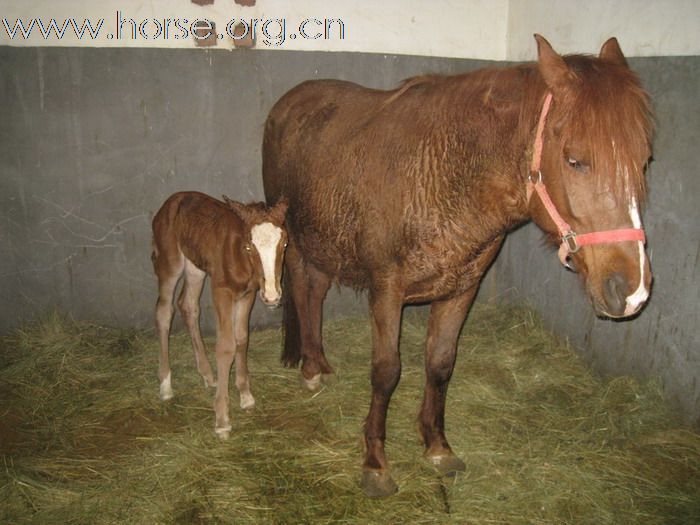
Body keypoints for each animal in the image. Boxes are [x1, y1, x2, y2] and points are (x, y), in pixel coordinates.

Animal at [151, 190, 288, 436]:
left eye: (284, 243)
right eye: (249, 247)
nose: (272, 295)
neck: (240, 258)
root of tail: (171, 201)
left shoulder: (248, 294)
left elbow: (242, 338)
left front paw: (245, 395)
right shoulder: (222, 291)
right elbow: (225, 346)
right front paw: (222, 418)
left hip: (195, 268)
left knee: (188, 305)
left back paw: (207, 374)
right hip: (170, 263)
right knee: (164, 311)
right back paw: (165, 385)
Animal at [260, 35, 652, 496]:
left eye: (644, 160)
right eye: (575, 160)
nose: (631, 290)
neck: (447, 176)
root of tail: (291, 101)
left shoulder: (461, 289)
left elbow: (440, 364)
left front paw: (437, 446)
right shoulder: (386, 291)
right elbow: (386, 372)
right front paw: (376, 462)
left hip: (327, 241)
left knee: (316, 292)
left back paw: (319, 362)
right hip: (296, 239)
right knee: (302, 290)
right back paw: (308, 368)